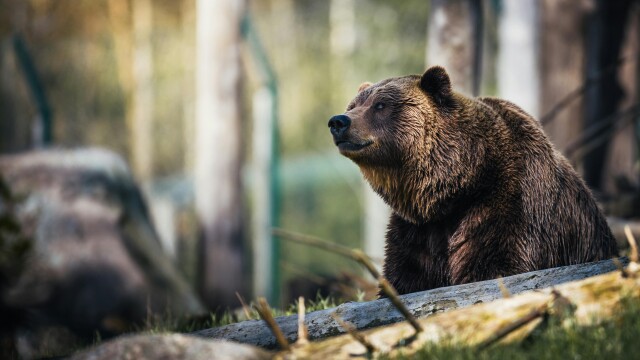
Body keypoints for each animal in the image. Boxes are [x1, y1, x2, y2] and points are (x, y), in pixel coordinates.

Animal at [328, 66, 616, 294]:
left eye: (380, 105)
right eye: (353, 105)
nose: (338, 121)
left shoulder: (509, 203)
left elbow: (494, 265)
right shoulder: (418, 230)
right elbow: (407, 276)